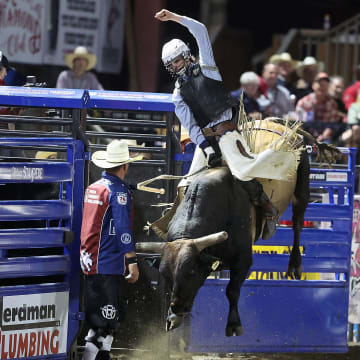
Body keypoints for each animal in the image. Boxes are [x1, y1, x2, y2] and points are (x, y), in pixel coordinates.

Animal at [135, 118, 340, 338]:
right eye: (165, 274)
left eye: (191, 272)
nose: (177, 309)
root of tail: (275, 123)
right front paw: (172, 319)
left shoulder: (243, 260)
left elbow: (232, 290)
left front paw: (234, 325)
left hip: (302, 185)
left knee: (298, 223)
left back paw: (295, 264)